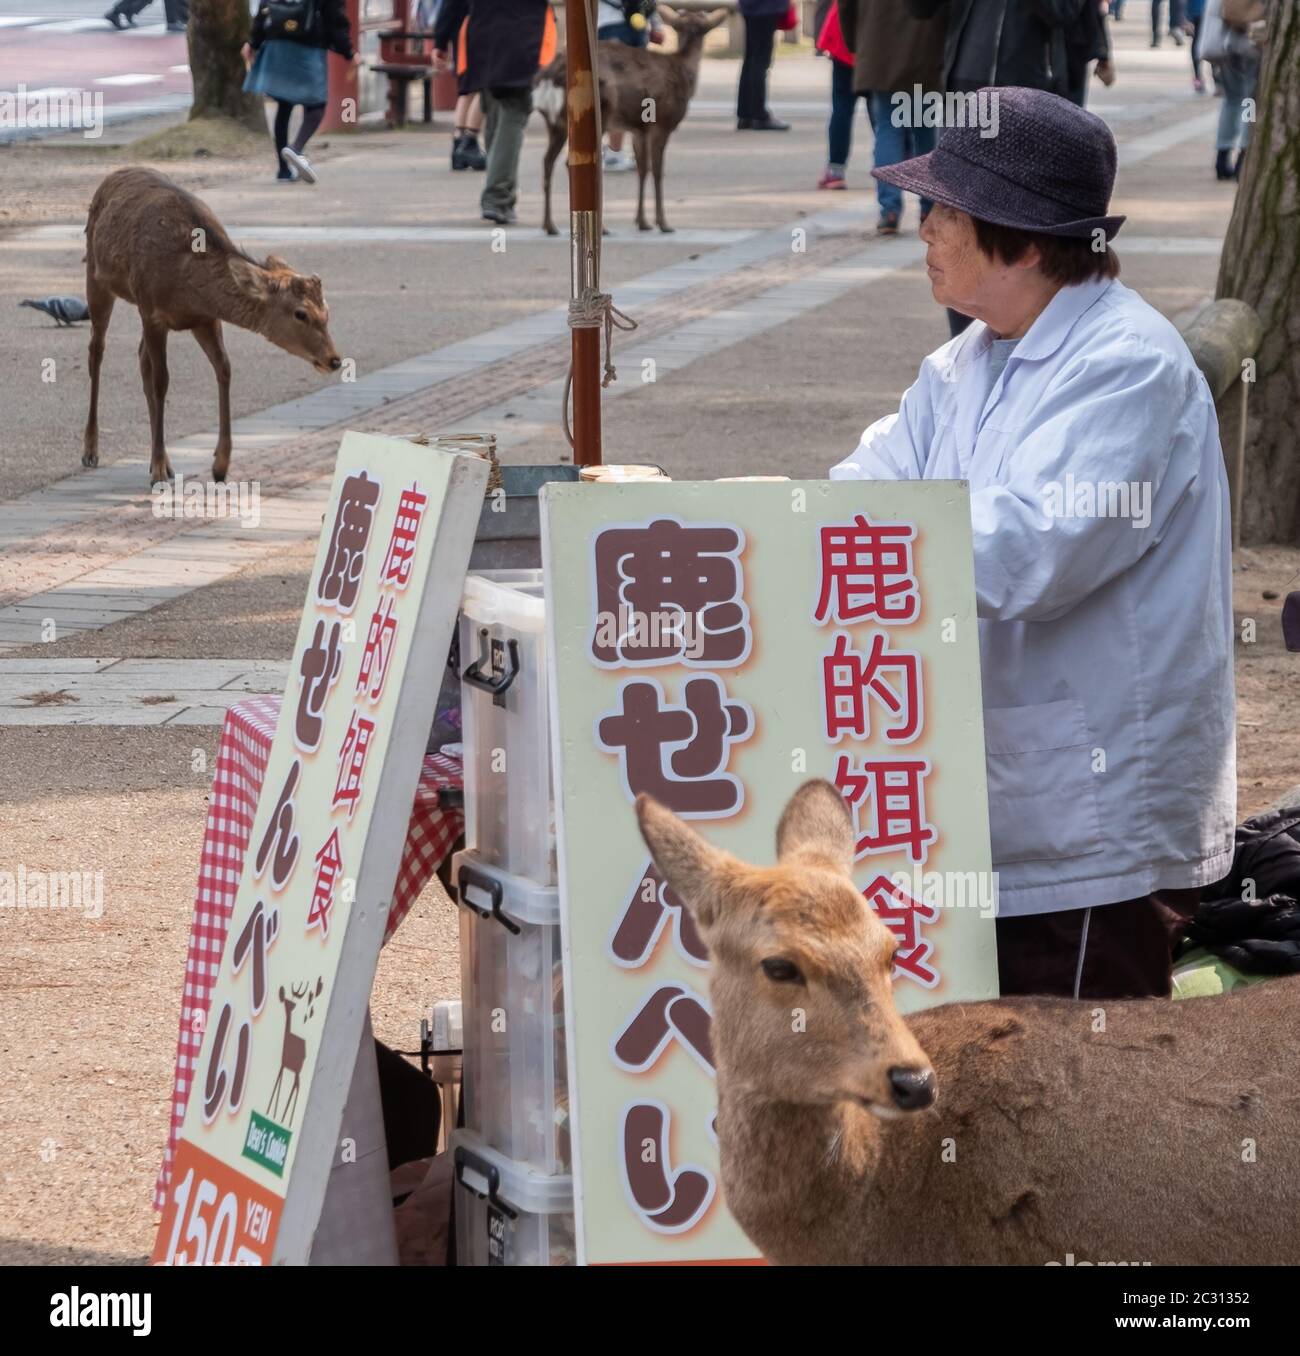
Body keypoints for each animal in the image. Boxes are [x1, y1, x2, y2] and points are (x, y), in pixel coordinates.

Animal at [82, 166, 342, 488]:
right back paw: (92, 451)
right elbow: (161, 381)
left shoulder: (205, 319)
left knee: (141, 358)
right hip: (96, 276)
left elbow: (224, 368)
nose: (334, 360)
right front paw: (158, 470)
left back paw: (164, 461)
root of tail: (116, 173)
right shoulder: (153, 311)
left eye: (327, 311)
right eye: (301, 314)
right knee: (96, 350)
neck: (188, 284)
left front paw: (219, 465)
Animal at [531, 4, 732, 235]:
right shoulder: (661, 123)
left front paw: (642, 221)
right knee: (573, 163)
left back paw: (549, 225)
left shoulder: (639, 129)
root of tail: (548, 78)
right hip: (599, 113)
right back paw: (601, 227)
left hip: (555, 123)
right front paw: (663, 223)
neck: (682, 70)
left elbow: (642, 169)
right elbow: (657, 170)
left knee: (547, 161)